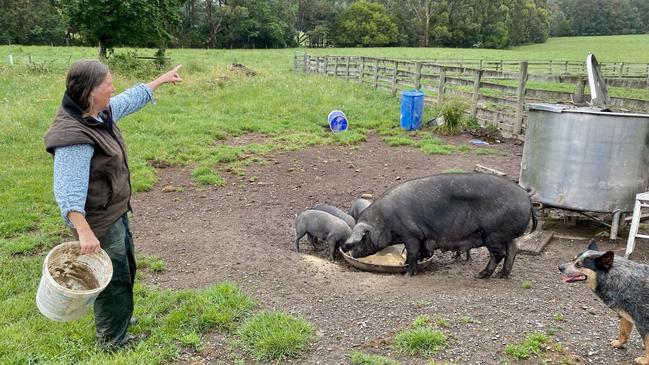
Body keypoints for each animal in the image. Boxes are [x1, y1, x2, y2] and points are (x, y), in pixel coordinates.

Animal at [340, 172, 536, 278]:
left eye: (362, 238)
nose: (351, 252)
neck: (384, 220)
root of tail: (526, 197)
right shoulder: (422, 236)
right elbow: (419, 252)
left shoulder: (411, 234)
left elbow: (412, 252)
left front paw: (408, 273)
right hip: (506, 234)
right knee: (513, 249)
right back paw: (503, 275)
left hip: (493, 234)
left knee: (499, 254)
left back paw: (481, 275)